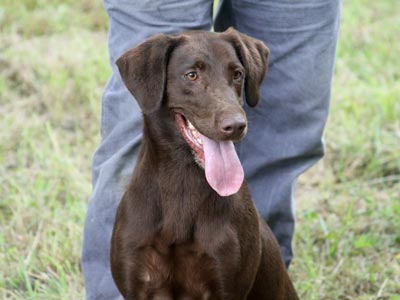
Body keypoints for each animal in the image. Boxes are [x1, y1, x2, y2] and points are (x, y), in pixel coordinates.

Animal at [111, 28, 298, 300]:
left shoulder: (226, 284)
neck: (182, 183)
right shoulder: (137, 282)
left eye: (237, 74)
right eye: (192, 75)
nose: (236, 125)